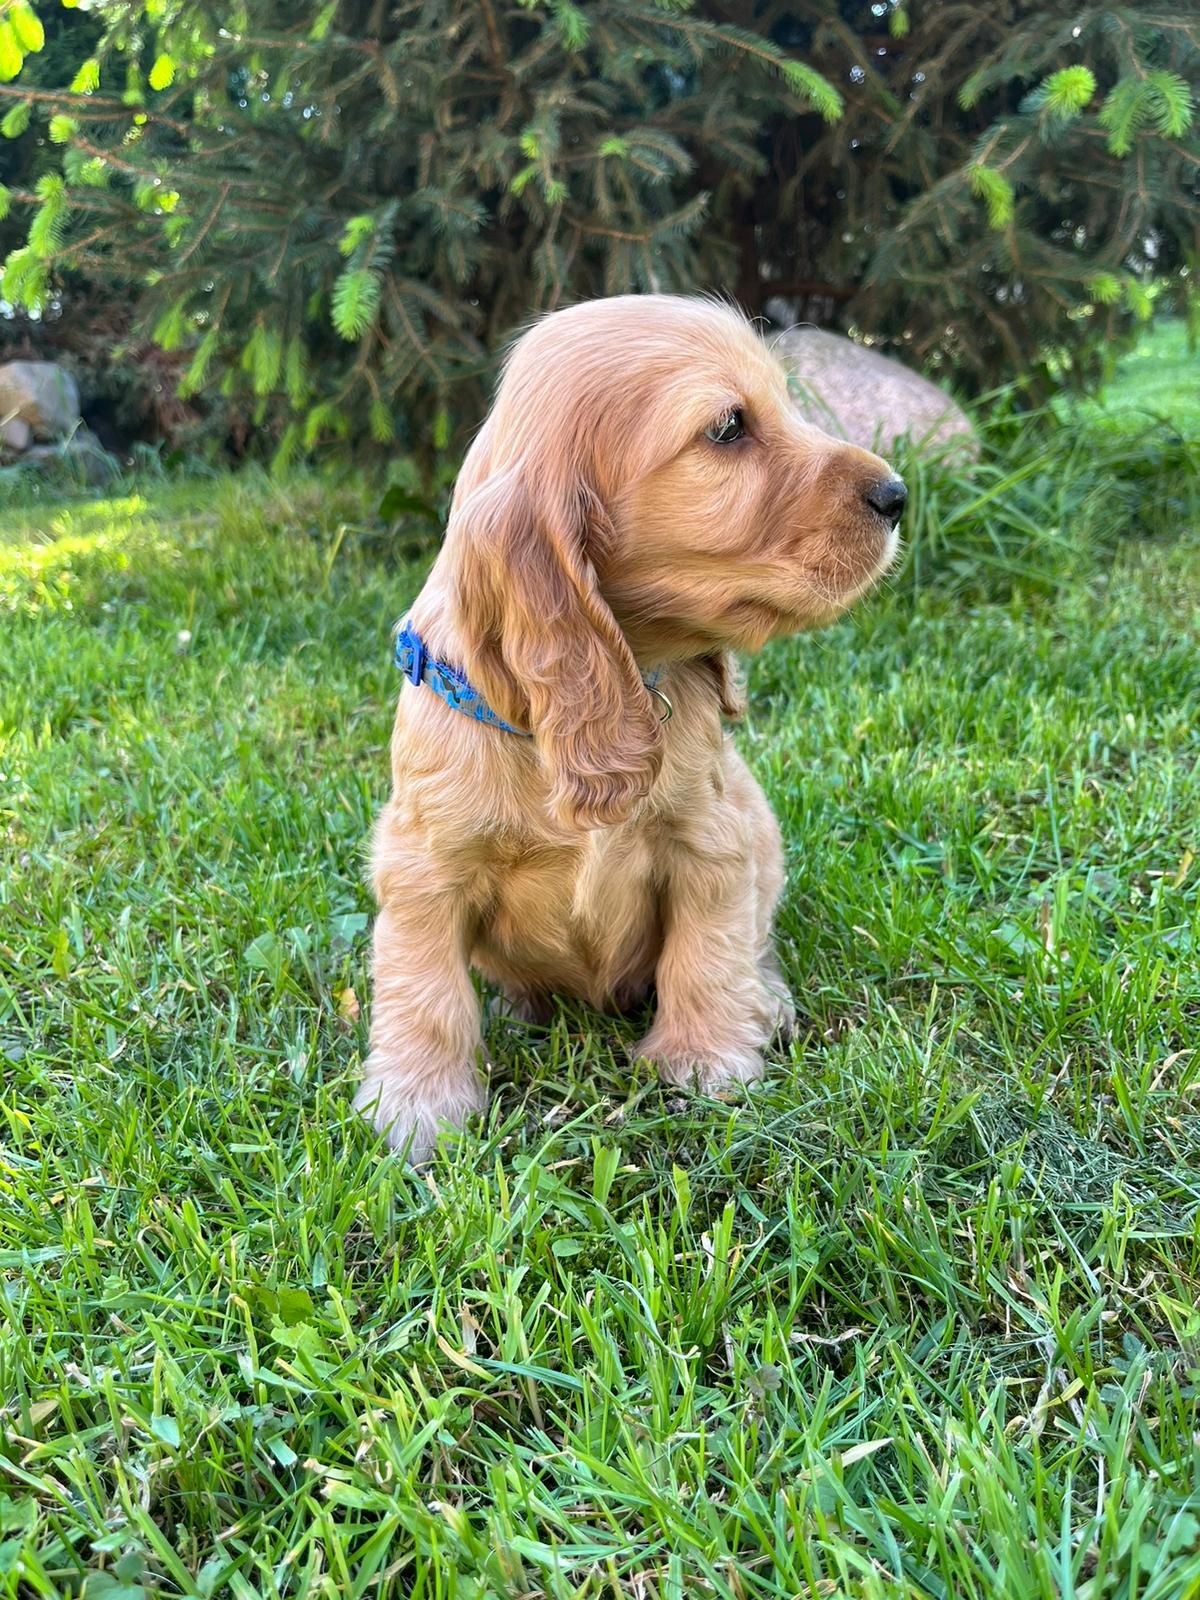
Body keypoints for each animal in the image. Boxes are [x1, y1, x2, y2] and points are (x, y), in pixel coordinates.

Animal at [356, 294, 902, 1158]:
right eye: (728, 427)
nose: (897, 495)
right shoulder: (423, 863)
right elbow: (424, 985)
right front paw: (418, 1105)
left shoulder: (710, 838)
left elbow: (708, 952)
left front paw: (709, 1062)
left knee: (756, 941)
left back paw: (768, 1002)